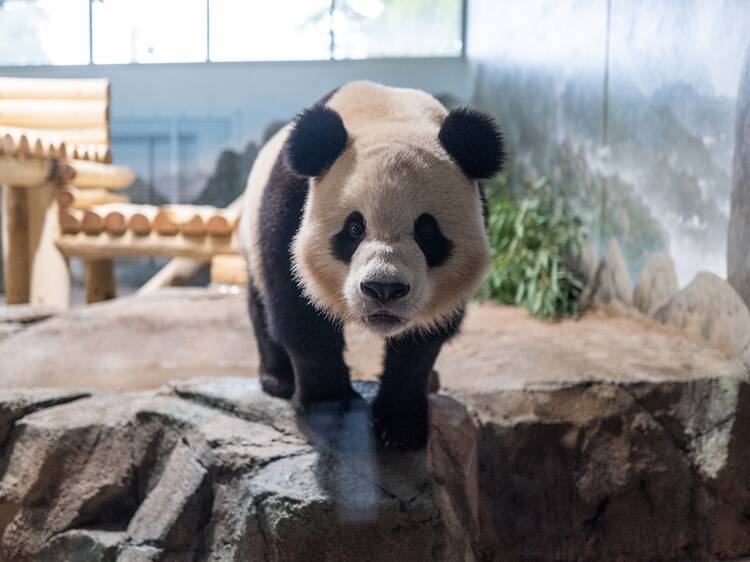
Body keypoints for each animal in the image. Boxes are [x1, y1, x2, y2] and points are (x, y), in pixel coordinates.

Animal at [241, 80, 506, 446]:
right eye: (354, 228)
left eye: (426, 230)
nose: (383, 288)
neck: (387, 114)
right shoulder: (290, 204)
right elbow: (297, 306)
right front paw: (329, 407)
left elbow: (423, 340)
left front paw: (401, 424)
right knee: (261, 305)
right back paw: (277, 379)